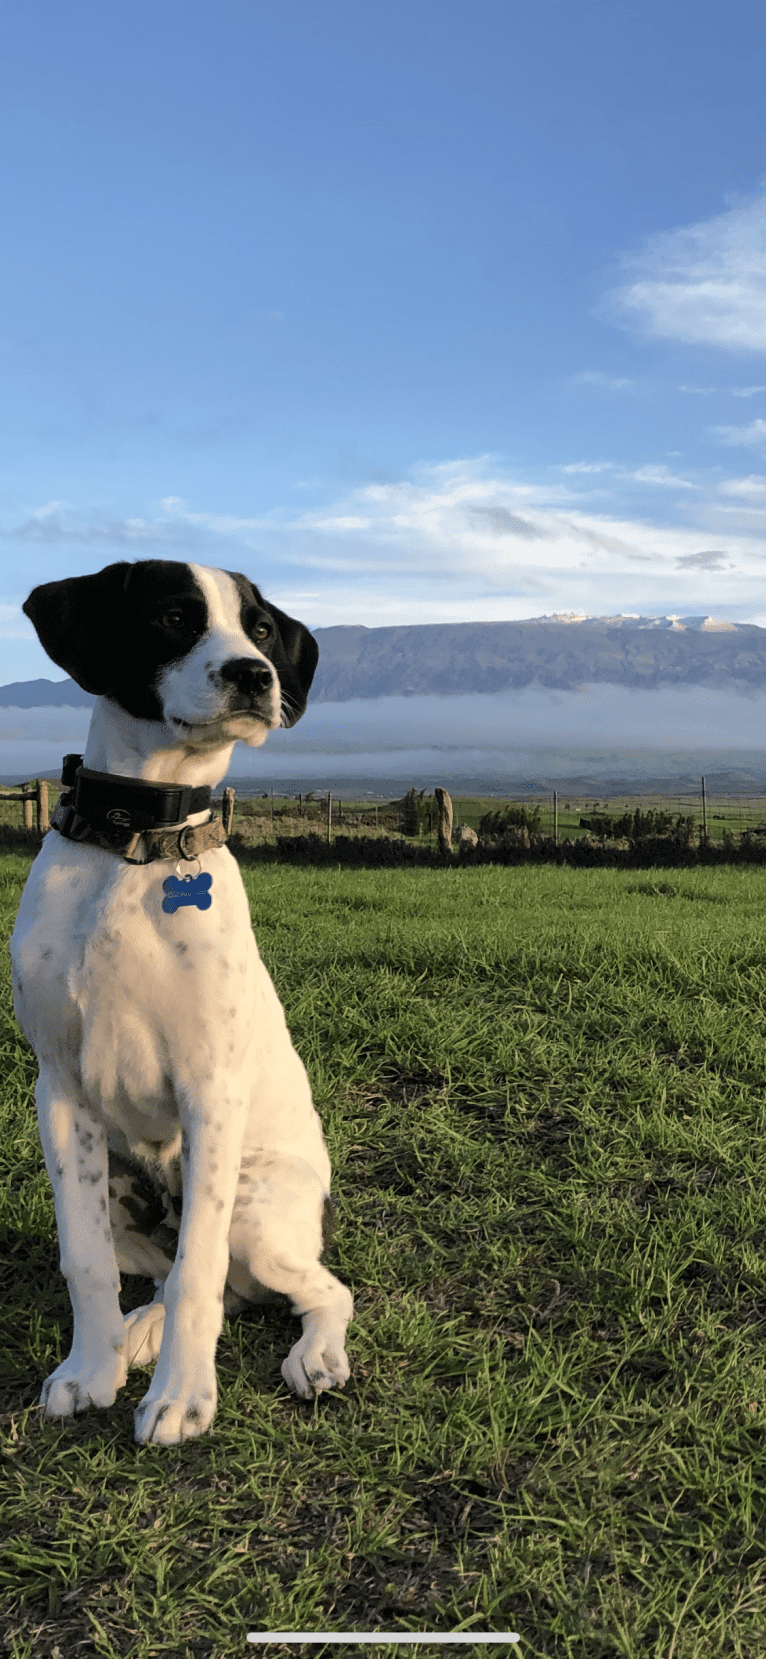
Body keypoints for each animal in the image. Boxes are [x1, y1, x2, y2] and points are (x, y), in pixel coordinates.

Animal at [8, 560, 353, 1440]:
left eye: (259, 629)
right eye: (172, 616)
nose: (255, 676)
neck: (139, 844)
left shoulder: (210, 1091)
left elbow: (200, 1270)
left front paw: (183, 1394)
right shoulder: (58, 1088)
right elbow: (85, 1258)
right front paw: (89, 1369)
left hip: (257, 1212)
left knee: (306, 1285)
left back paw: (314, 1355)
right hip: (124, 1188)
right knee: (175, 1275)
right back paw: (137, 1332)